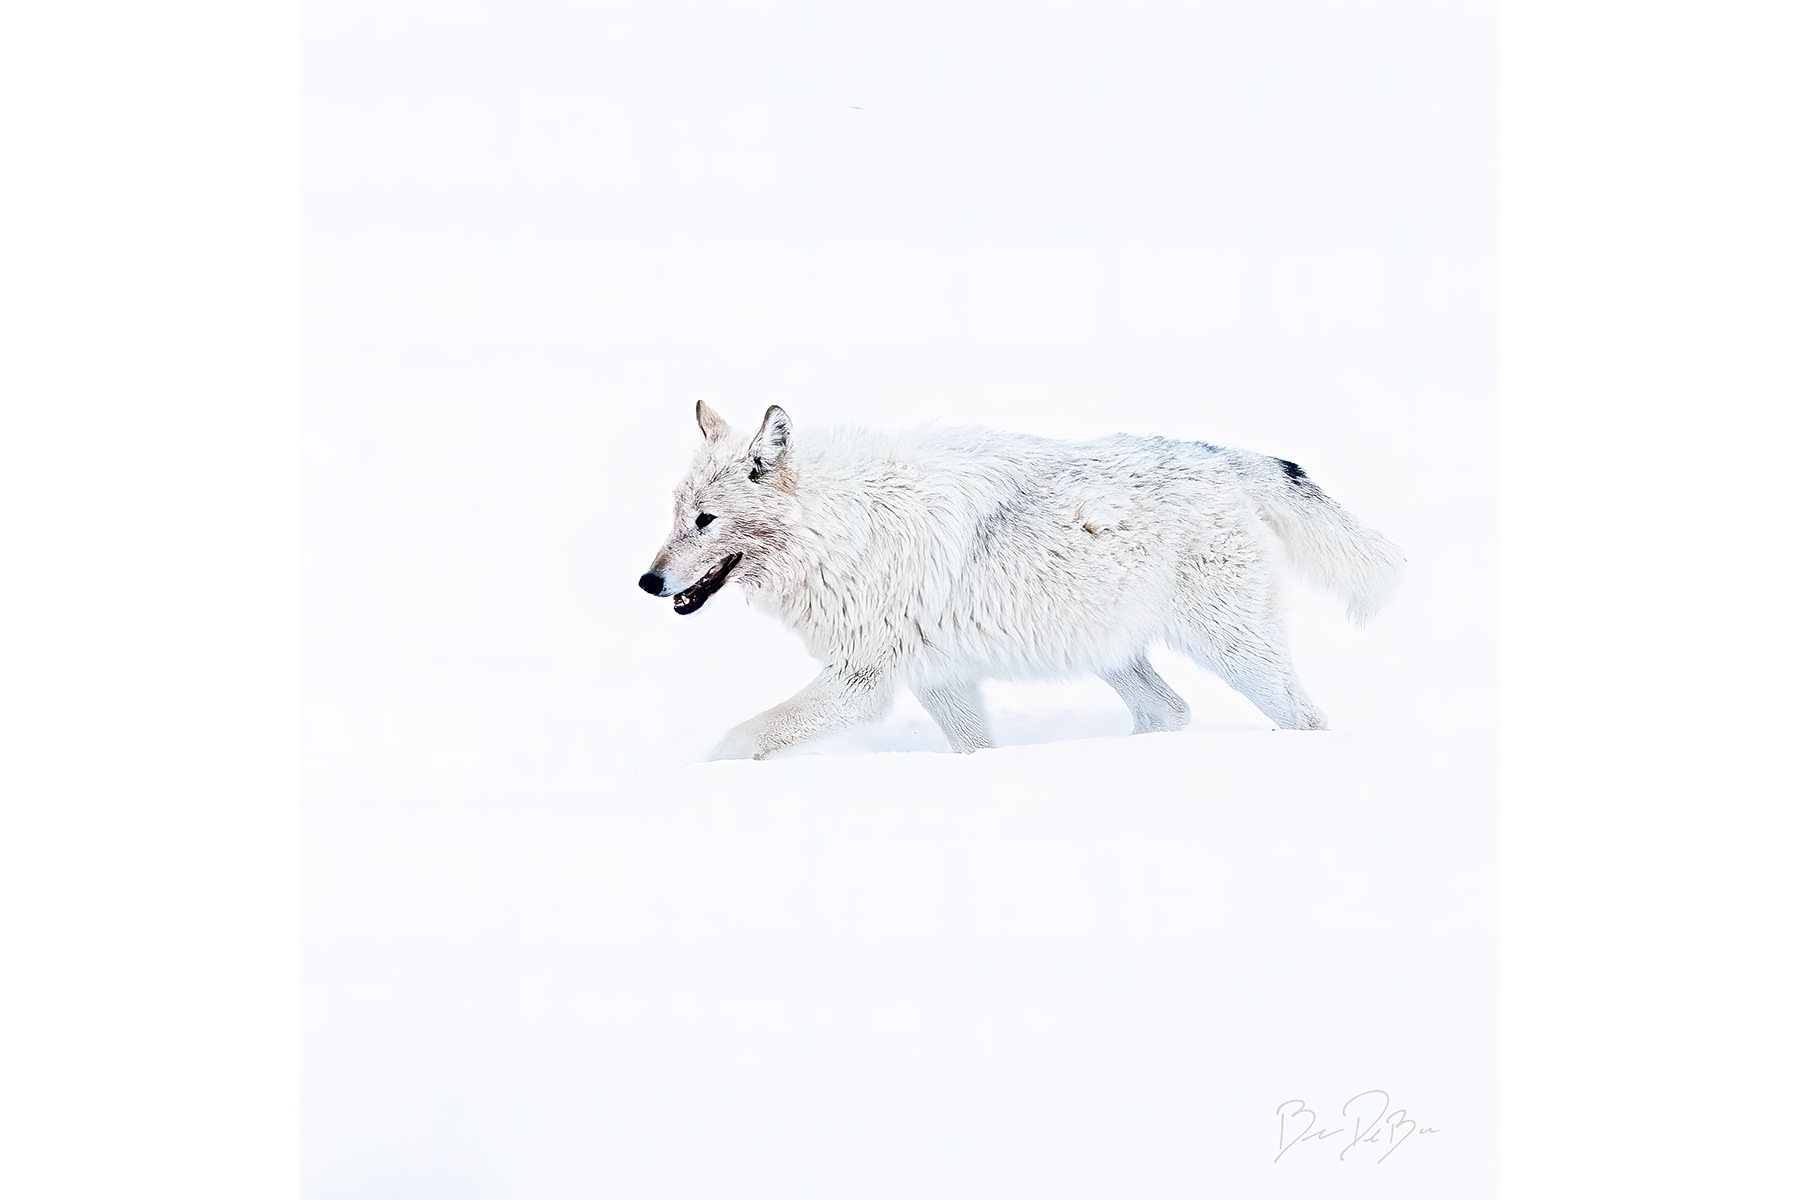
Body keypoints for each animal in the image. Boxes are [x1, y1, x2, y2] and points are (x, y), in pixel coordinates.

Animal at [638, 401, 1404, 760]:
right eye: (676, 514)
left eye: (706, 520)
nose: (648, 581)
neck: (844, 529)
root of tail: (1224, 458)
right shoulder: (939, 679)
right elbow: (976, 750)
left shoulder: (862, 682)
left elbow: (740, 740)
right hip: (1113, 653)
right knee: (1170, 711)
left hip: (1235, 652)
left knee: (1306, 719)